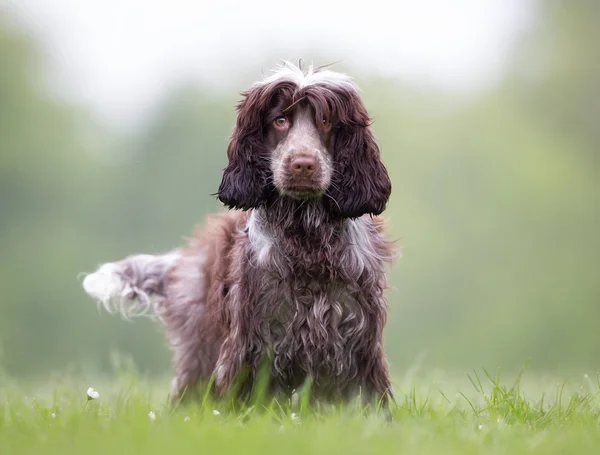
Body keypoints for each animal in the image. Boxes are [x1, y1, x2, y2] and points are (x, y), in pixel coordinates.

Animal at [82, 61, 396, 410]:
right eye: (280, 120)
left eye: (325, 120)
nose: (303, 164)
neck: (306, 238)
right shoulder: (251, 343)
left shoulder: (358, 341)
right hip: (200, 349)